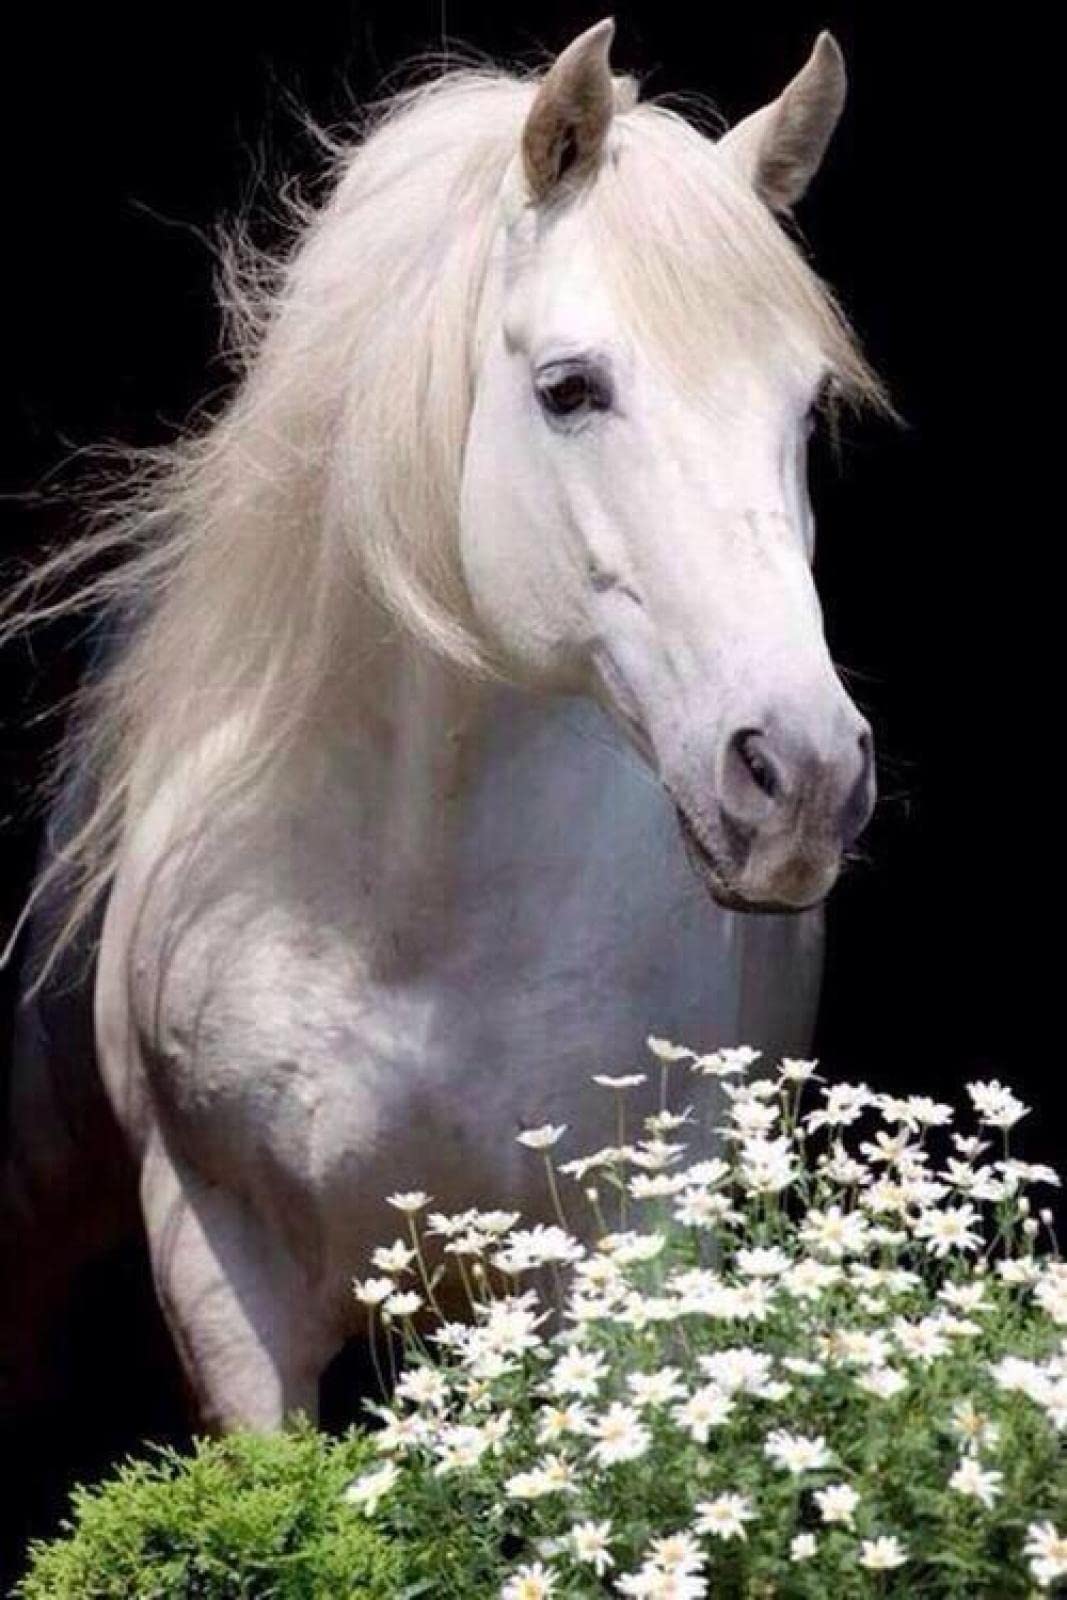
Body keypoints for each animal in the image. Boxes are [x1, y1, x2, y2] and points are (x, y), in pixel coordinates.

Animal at [2, 20, 889, 1431]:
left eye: (802, 410)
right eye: (569, 388)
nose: (798, 775)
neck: (407, 918)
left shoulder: (633, 1251)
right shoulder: (219, 1273)